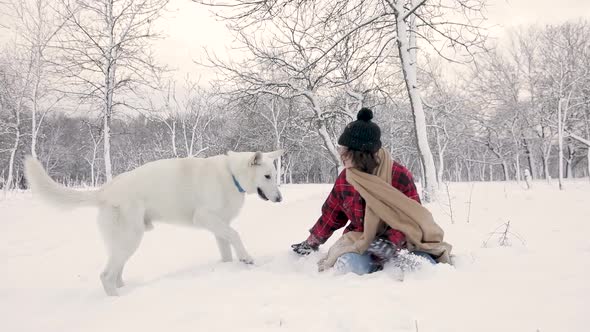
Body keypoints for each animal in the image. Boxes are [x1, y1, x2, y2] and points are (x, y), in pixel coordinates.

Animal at [26, 150, 286, 296]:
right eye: (267, 176)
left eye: (276, 176)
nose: (280, 199)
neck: (231, 176)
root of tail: (104, 191)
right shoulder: (206, 217)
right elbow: (235, 235)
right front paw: (247, 258)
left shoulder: (218, 226)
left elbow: (226, 249)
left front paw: (231, 265)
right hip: (130, 239)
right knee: (106, 276)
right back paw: (118, 301)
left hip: (125, 244)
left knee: (116, 274)